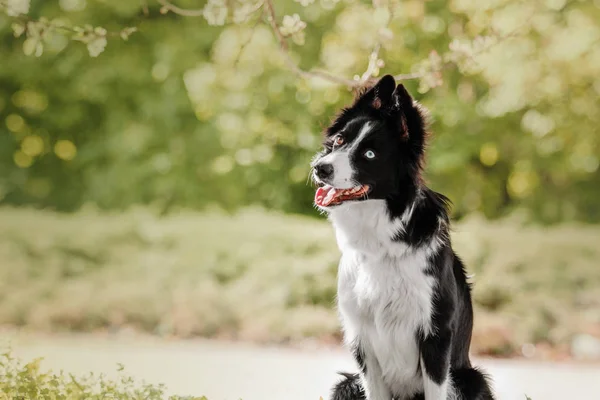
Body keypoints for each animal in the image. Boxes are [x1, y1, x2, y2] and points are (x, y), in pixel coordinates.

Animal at [312, 75, 494, 400]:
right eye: (340, 141)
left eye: (370, 154)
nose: (320, 168)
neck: (380, 241)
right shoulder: (362, 340)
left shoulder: (435, 335)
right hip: (346, 384)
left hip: (469, 379)